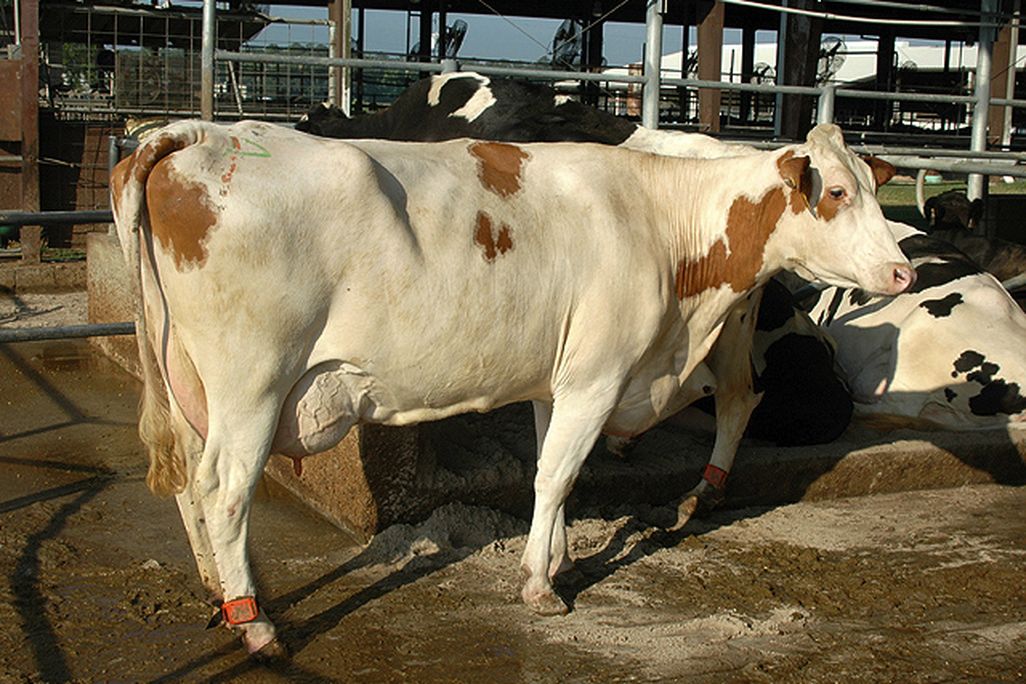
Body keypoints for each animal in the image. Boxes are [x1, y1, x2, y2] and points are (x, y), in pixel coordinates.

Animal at [110, 119, 912, 656]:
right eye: (838, 192)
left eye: (876, 190)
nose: (904, 272)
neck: (660, 220)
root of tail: (199, 134)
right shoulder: (596, 376)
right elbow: (557, 476)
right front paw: (539, 586)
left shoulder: (559, 382)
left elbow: (552, 475)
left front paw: (556, 559)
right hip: (252, 382)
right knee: (224, 489)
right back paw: (256, 623)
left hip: (189, 381)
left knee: (191, 484)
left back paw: (218, 592)